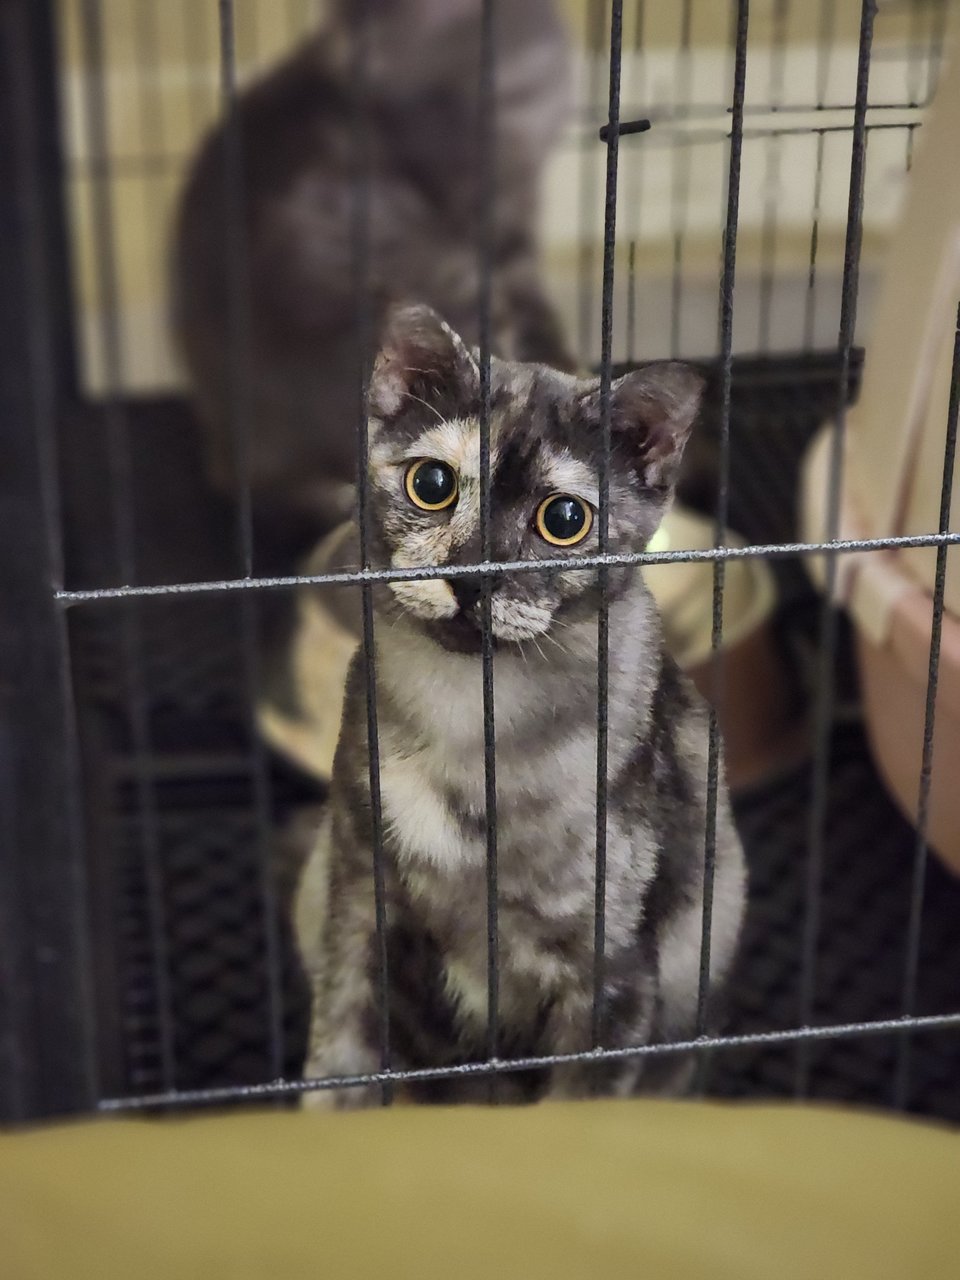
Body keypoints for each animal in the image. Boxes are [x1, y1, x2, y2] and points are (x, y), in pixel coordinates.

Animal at [295, 304, 752, 1105]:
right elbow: (339, 1062)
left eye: (564, 519)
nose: (473, 578)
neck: (468, 724)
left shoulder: (611, 980)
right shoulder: (355, 903)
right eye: (432, 483)